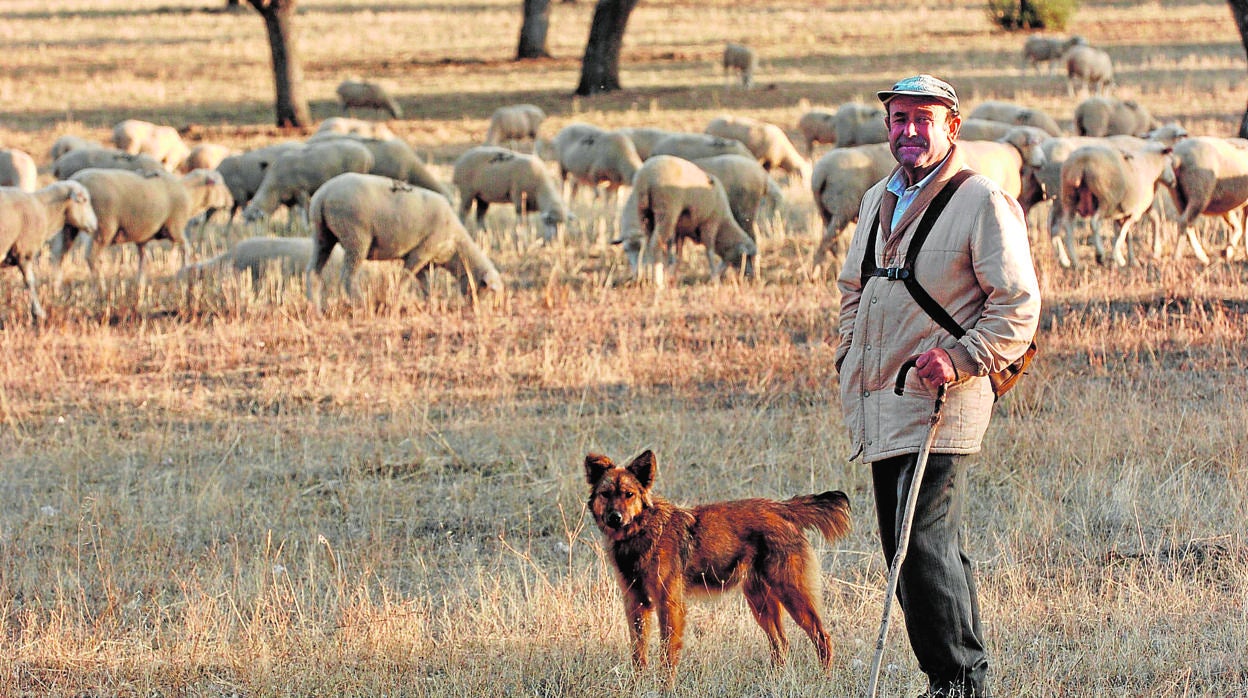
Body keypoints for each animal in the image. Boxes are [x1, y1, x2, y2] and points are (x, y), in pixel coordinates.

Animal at [0, 181, 97, 321]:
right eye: (84, 200)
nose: (95, 225)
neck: (44, 209)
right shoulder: (24, 251)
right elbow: (30, 282)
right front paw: (38, 313)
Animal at [55, 167, 232, 288]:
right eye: (221, 184)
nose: (231, 201)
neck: (189, 194)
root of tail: (78, 180)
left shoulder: (143, 236)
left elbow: (143, 260)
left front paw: (140, 284)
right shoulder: (175, 227)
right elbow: (185, 248)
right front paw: (184, 272)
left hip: (69, 227)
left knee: (61, 254)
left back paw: (57, 286)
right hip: (103, 226)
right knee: (91, 257)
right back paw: (100, 288)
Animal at [242, 139, 375, 223]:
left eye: (253, 220)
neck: (274, 189)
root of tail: (368, 155)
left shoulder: (301, 191)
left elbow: (303, 211)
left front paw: (306, 227)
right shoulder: (289, 197)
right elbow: (291, 214)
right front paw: (290, 228)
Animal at [306, 172, 504, 308]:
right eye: (487, 290)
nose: (475, 310)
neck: (456, 247)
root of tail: (323, 195)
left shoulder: (424, 260)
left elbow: (425, 283)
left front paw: (431, 303)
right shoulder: (422, 252)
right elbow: (405, 278)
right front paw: (395, 301)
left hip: (322, 235)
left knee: (313, 272)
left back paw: (315, 309)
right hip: (356, 235)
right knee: (348, 275)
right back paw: (361, 304)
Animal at [630, 154, 758, 284]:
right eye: (747, 256)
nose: (751, 276)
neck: (724, 226)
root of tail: (647, 176)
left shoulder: (680, 232)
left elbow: (679, 255)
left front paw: (672, 277)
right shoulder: (710, 224)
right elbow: (709, 252)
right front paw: (715, 279)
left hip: (644, 213)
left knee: (648, 244)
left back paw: (650, 279)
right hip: (667, 211)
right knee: (656, 245)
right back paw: (658, 282)